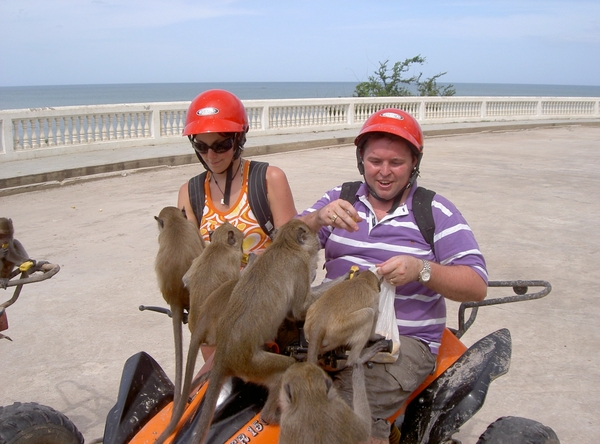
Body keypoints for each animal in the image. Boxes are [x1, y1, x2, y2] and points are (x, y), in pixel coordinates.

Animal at [172, 219, 324, 444]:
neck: (285, 245)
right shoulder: (300, 266)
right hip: (252, 365)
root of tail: (224, 355)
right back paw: (271, 417)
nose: (319, 242)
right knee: (283, 370)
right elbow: (298, 310)